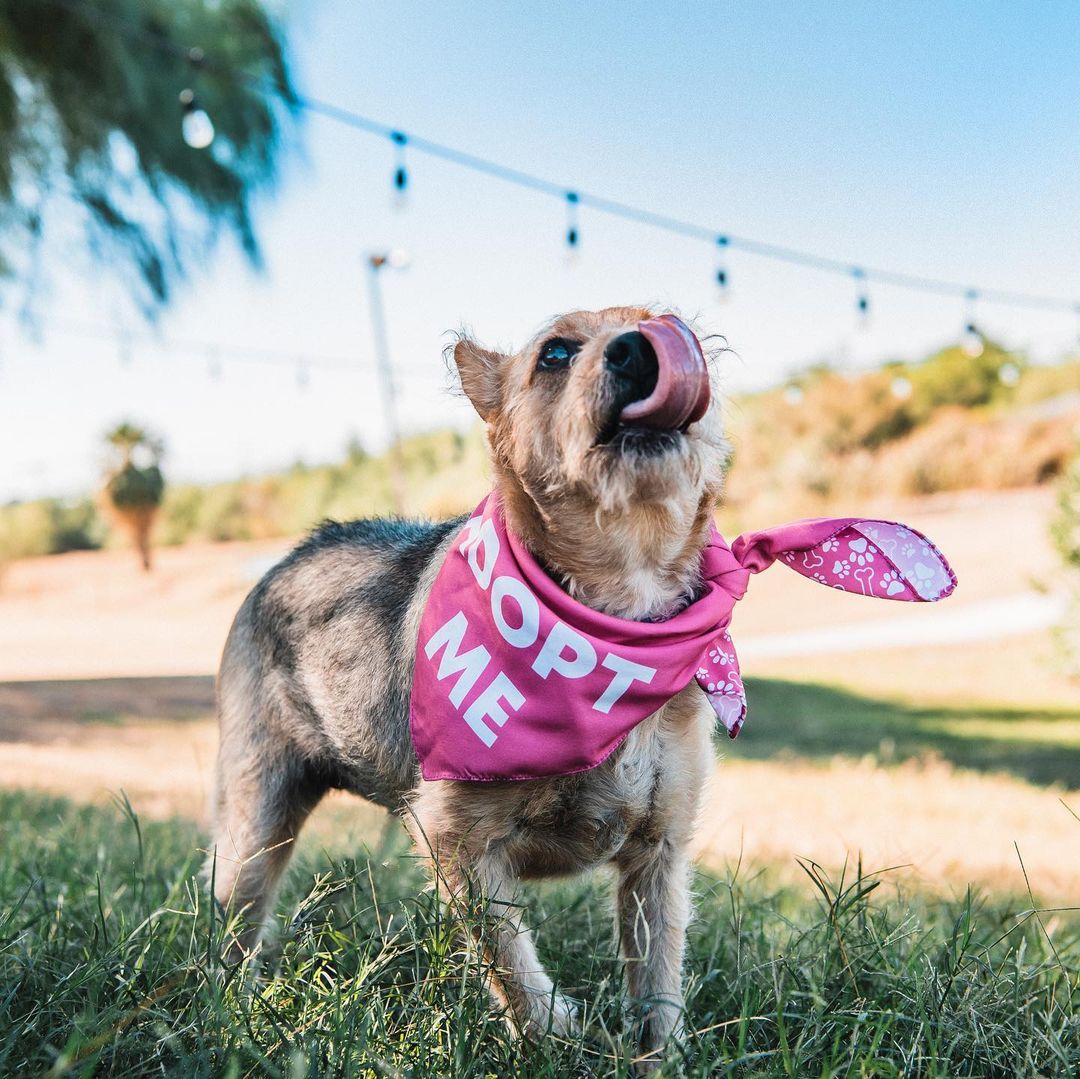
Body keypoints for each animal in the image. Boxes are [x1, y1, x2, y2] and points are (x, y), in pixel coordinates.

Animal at [208, 304, 725, 1062]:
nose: (639, 347)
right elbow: (512, 962)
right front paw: (558, 1038)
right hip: (255, 819)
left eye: (671, 323)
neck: (611, 621)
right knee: (235, 921)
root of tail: (289, 555)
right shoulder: (457, 845)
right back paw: (227, 1009)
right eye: (556, 353)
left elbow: (657, 979)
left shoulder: (659, 851)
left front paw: (661, 1058)